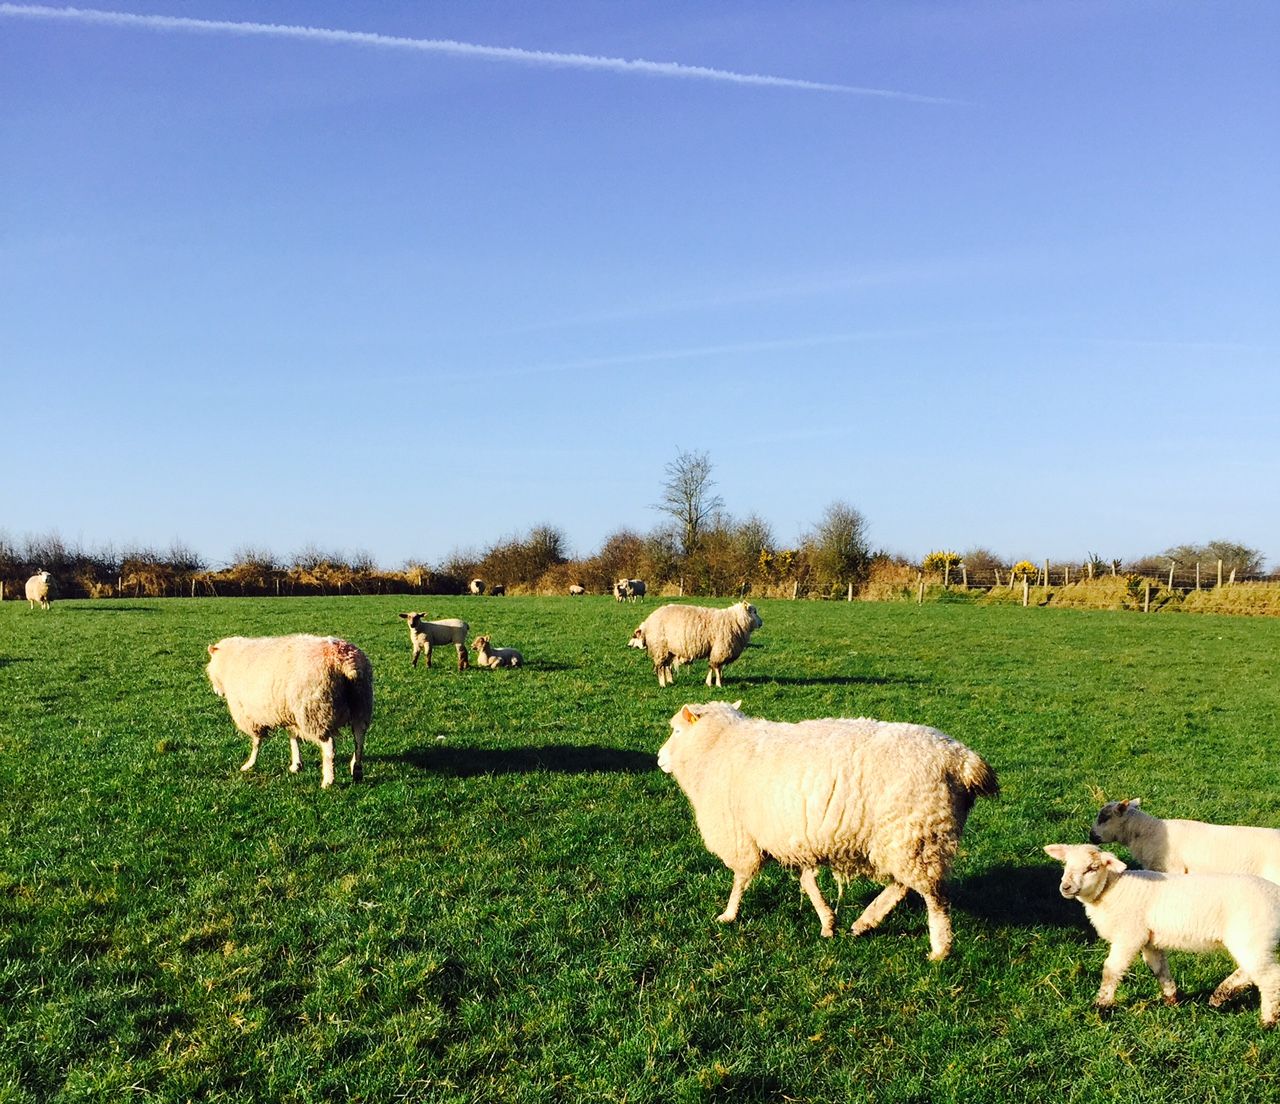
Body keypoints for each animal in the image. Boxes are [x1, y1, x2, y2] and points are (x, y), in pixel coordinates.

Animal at [205, 634, 373, 789]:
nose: (216, 692)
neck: (229, 662)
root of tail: (345, 661)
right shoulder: (288, 714)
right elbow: (293, 738)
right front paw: (296, 764)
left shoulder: (251, 716)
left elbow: (256, 742)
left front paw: (249, 764)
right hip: (361, 706)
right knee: (359, 740)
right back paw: (357, 770)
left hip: (315, 712)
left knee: (329, 748)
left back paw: (328, 780)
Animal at [629, 601, 762, 687]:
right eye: (754, 611)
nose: (762, 623)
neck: (735, 620)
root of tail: (648, 622)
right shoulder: (720, 649)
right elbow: (717, 668)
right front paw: (718, 684)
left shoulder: (714, 650)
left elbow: (712, 667)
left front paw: (709, 683)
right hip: (660, 648)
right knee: (661, 667)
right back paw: (663, 684)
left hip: (669, 650)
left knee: (665, 666)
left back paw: (670, 681)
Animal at [658, 701, 999, 959]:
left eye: (677, 731)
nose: (659, 758)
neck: (717, 746)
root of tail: (961, 760)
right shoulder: (794, 836)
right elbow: (807, 881)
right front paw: (827, 922)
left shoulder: (741, 835)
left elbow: (740, 880)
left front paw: (729, 914)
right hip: (911, 837)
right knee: (904, 884)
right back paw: (866, 921)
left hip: (918, 831)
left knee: (934, 897)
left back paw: (939, 949)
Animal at [1044, 842, 1280, 1025]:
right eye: (1066, 864)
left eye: (1092, 868)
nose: (1066, 887)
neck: (1112, 889)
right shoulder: (1149, 939)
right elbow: (1158, 968)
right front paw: (1171, 998)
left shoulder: (1129, 935)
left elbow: (1111, 970)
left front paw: (1101, 1005)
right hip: (1254, 940)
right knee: (1251, 972)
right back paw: (1220, 996)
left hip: (1251, 936)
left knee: (1269, 977)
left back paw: (1267, 1021)